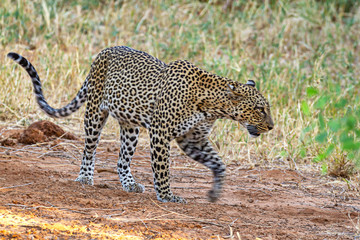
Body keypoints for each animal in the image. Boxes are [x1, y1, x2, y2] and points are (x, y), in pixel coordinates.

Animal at [7, 46, 272, 202]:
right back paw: (84, 178)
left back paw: (130, 184)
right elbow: (163, 168)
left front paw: (215, 191)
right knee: (89, 149)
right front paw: (167, 196)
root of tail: (103, 52)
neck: (211, 106)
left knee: (122, 160)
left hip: (131, 128)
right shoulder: (161, 133)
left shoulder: (192, 139)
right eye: (260, 109)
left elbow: (218, 163)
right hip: (94, 113)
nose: (271, 126)